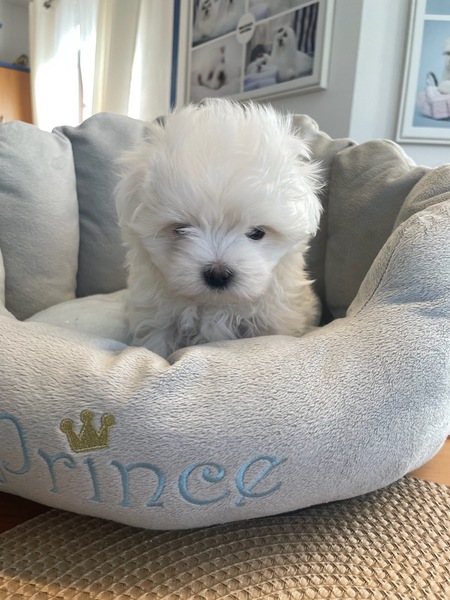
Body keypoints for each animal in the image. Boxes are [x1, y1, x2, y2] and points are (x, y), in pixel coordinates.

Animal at [116, 99, 322, 358]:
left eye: (257, 233)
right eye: (180, 229)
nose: (218, 274)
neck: (215, 304)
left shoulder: (276, 317)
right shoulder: (157, 316)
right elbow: (157, 342)